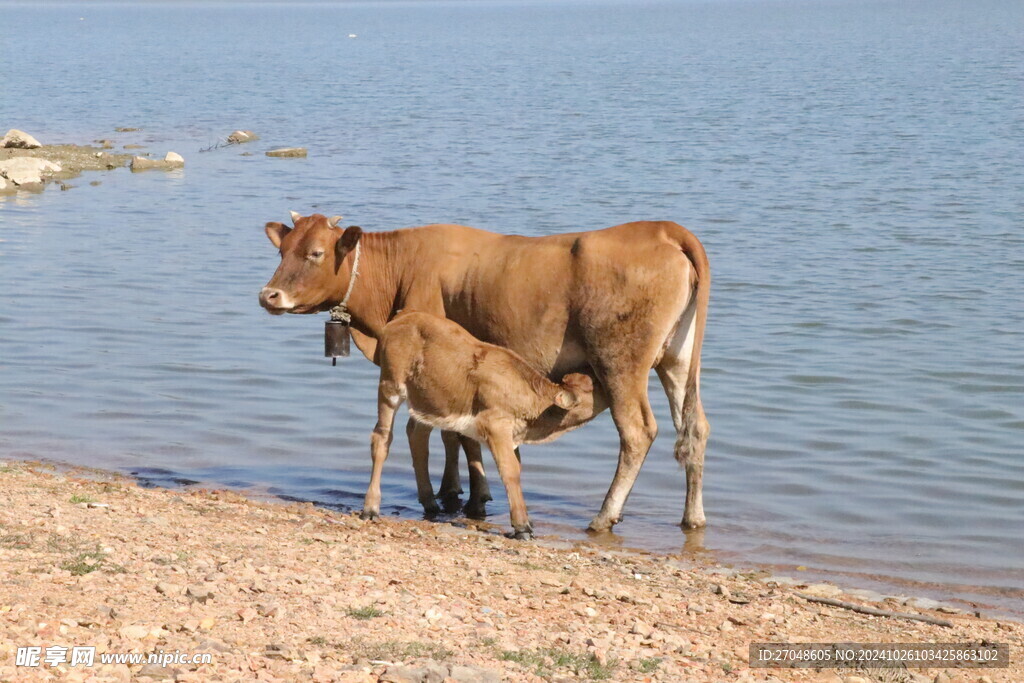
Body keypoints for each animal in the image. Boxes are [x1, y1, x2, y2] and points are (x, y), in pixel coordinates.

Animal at [362, 311, 598, 540]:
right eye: (596, 390)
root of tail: (402, 318)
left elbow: (515, 466)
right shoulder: (495, 426)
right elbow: (510, 470)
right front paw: (522, 527)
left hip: (426, 399)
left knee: (417, 435)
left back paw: (430, 504)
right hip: (390, 385)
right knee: (382, 439)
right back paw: (370, 508)